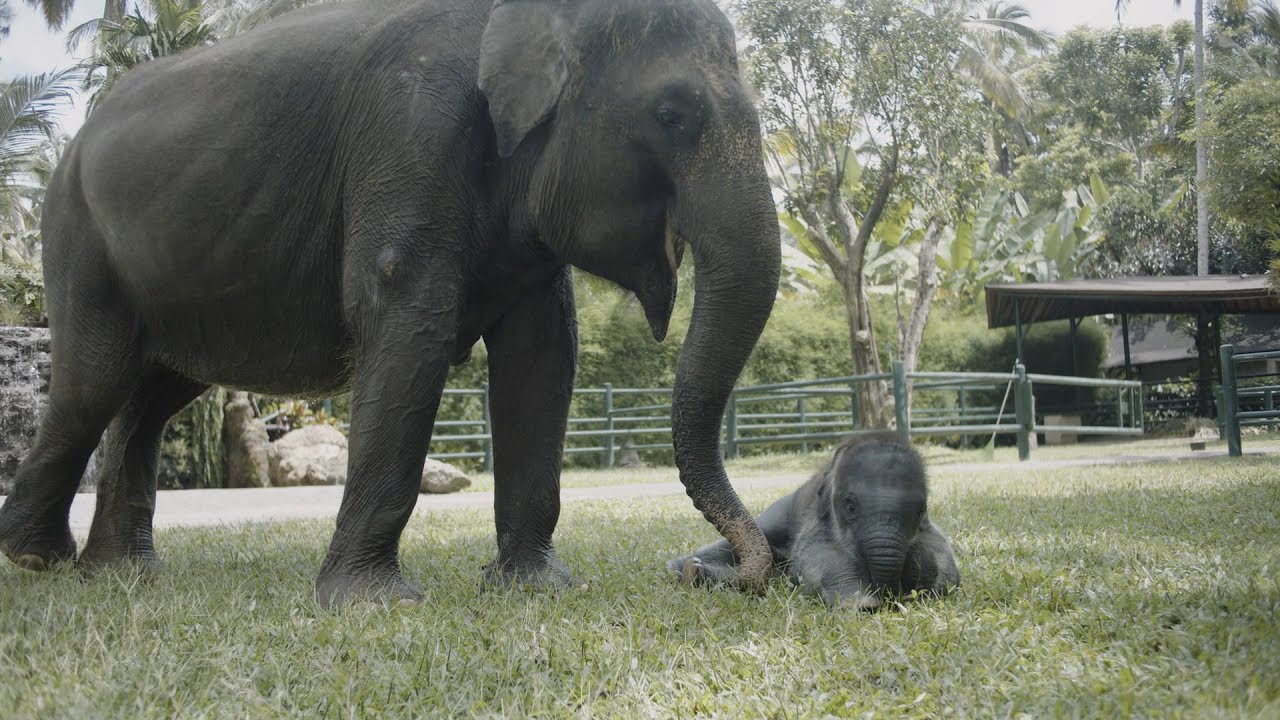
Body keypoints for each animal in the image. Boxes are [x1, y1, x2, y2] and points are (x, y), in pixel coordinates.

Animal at [0, 0, 782, 608]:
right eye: (672, 113)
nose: (701, 571)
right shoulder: (409, 130)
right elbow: (411, 325)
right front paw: (375, 605)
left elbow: (544, 354)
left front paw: (535, 588)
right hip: (79, 240)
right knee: (93, 382)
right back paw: (37, 559)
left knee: (155, 392)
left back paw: (118, 574)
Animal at [667, 433, 960, 611]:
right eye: (850, 505)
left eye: (920, 509)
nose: (890, 597)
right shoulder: (818, 523)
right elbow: (819, 555)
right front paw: (860, 604)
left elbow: (939, 555)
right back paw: (688, 569)